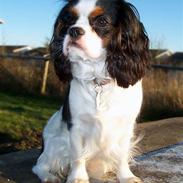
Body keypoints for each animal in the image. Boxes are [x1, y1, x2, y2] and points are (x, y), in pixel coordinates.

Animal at [33, 0, 149, 183]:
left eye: (102, 21)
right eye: (68, 19)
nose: (74, 30)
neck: (97, 79)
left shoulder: (125, 126)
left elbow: (121, 155)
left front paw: (126, 176)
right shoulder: (76, 126)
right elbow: (78, 156)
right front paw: (78, 178)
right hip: (55, 142)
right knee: (40, 165)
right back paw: (49, 177)